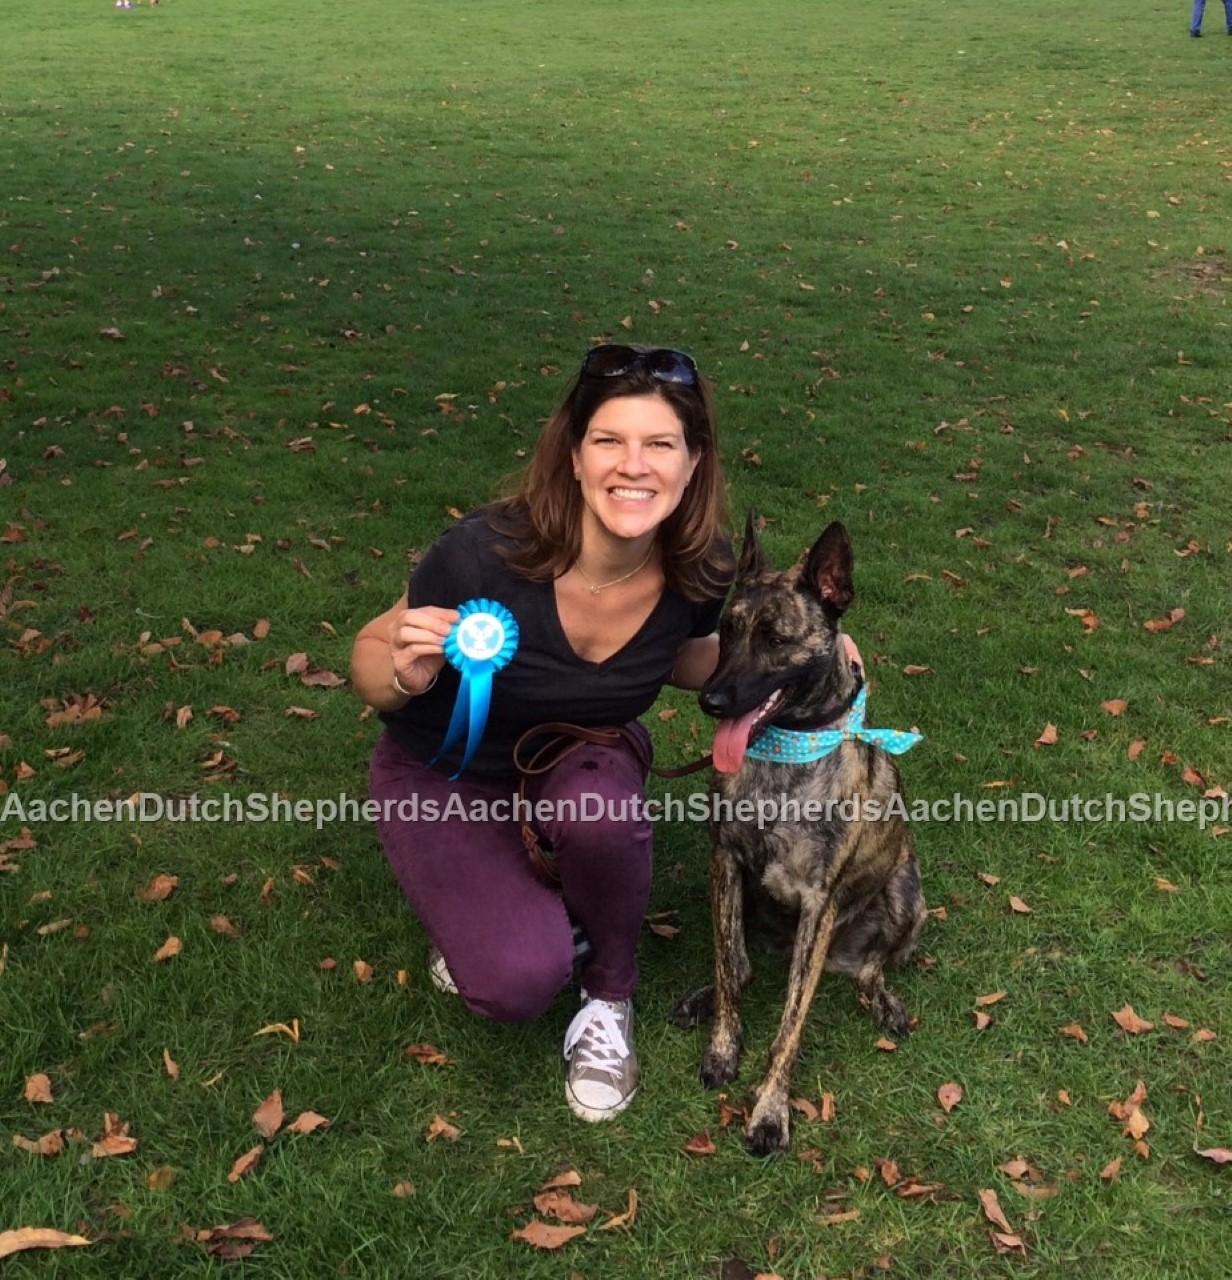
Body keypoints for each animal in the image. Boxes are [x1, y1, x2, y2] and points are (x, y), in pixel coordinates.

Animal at [671, 514, 922, 1157]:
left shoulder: (819, 901)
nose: (711, 700)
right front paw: (722, 1046)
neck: (783, 756)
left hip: (906, 896)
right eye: (727, 631)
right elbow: (728, 966)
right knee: (742, 962)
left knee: (873, 968)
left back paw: (883, 1000)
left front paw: (769, 1111)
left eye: (776, 639)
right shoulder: (725, 863)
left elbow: (790, 1025)